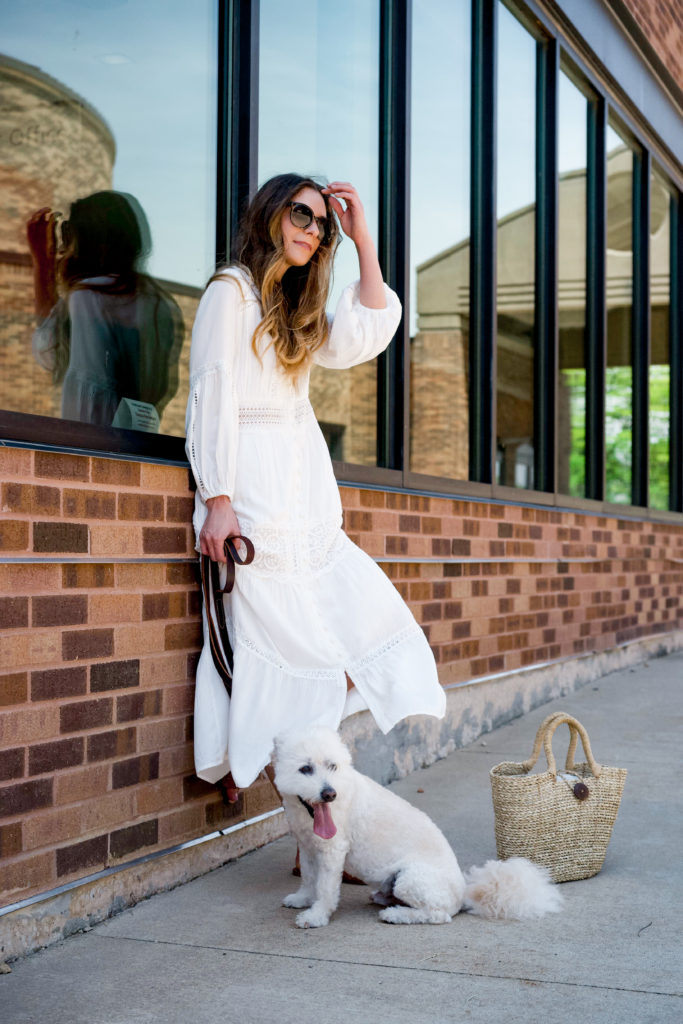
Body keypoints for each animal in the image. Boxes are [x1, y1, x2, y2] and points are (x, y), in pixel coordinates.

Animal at [274, 724, 565, 933]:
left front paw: (316, 915)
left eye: (332, 766)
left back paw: (395, 915)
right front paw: (303, 899)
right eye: (305, 769)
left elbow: (325, 888)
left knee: (438, 915)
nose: (329, 794)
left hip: (410, 878)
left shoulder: (333, 852)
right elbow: (309, 878)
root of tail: (463, 893)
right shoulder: (308, 847)